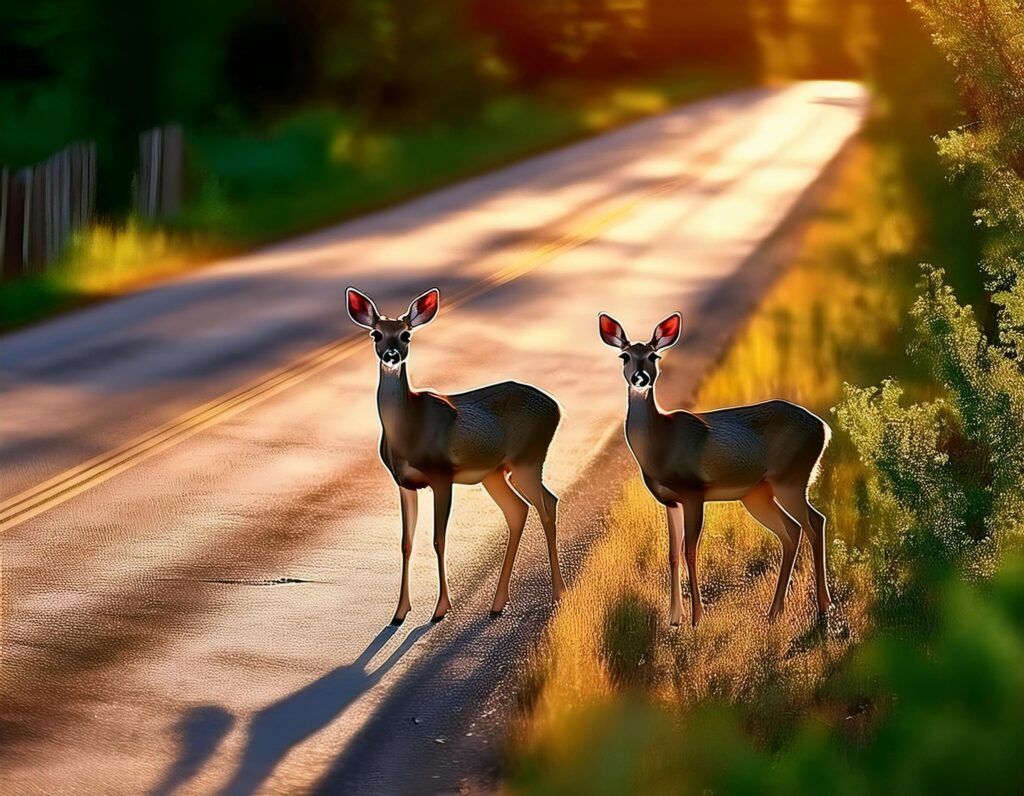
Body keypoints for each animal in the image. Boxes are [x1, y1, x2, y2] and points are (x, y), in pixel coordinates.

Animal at [346, 288, 569, 622]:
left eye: (406, 334)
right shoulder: (403, 483)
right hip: (497, 472)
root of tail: (557, 407)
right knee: (523, 508)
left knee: (544, 506)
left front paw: (440, 609)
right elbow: (406, 542)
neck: (409, 430)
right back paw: (498, 603)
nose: (391, 355)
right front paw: (399, 611)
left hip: (528, 458)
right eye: (376, 334)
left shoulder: (442, 476)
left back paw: (557, 594)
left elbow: (439, 539)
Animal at [598, 311, 831, 626]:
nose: (640, 378)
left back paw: (823, 607)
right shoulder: (670, 500)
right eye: (625, 356)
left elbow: (690, 551)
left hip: (791, 477)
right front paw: (674, 618)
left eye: (654, 356)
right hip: (758, 493)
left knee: (814, 522)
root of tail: (824, 428)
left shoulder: (693, 492)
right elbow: (672, 553)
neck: (661, 444)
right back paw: (774, 611)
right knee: (791, 530)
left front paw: (697, 617)